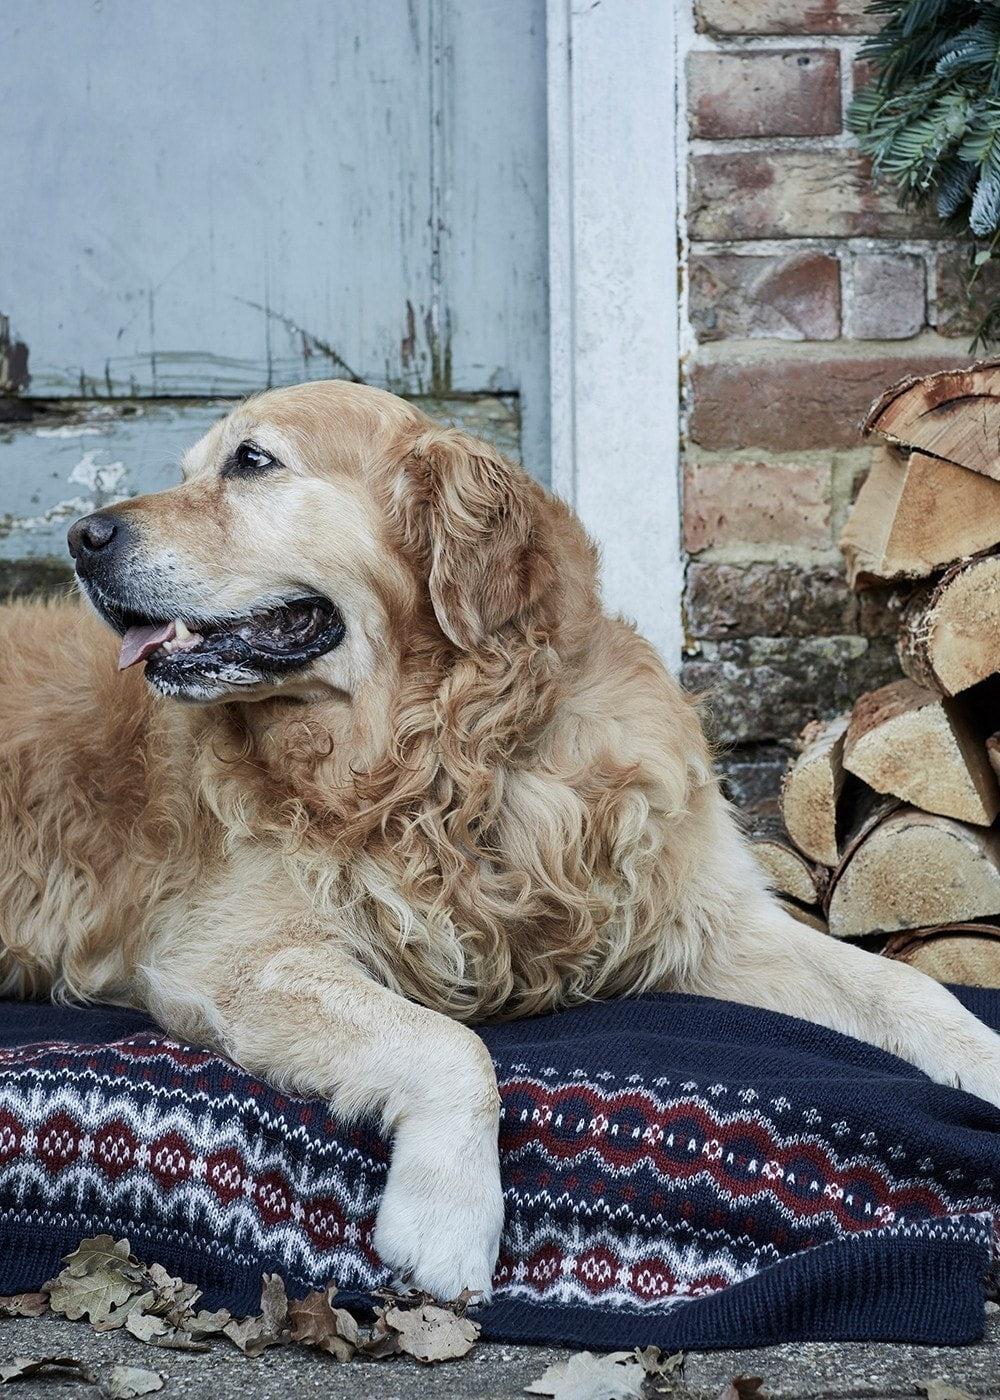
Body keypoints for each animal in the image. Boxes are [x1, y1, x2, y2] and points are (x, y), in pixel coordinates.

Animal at [1, 378, 997, 1293]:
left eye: (251, 461)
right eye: (190, 469)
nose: (82, 537)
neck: (453, 752)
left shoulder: (708, 920)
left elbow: (906, 986)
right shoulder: (235, 957)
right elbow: (454, 1046)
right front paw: (449, 1216)